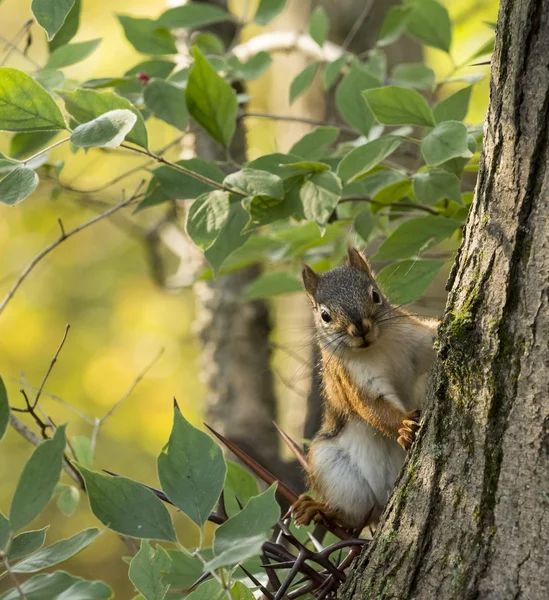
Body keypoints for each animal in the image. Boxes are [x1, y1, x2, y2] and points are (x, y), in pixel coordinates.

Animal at [292, 245, 436, 528]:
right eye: (324, 315)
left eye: (375, 295)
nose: (360, 329)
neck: (376, 347)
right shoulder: (353, 380)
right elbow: (373, 407)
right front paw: (403, 427)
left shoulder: (416, 339)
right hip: (331, 467)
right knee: (351, 517)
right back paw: (319, 510)